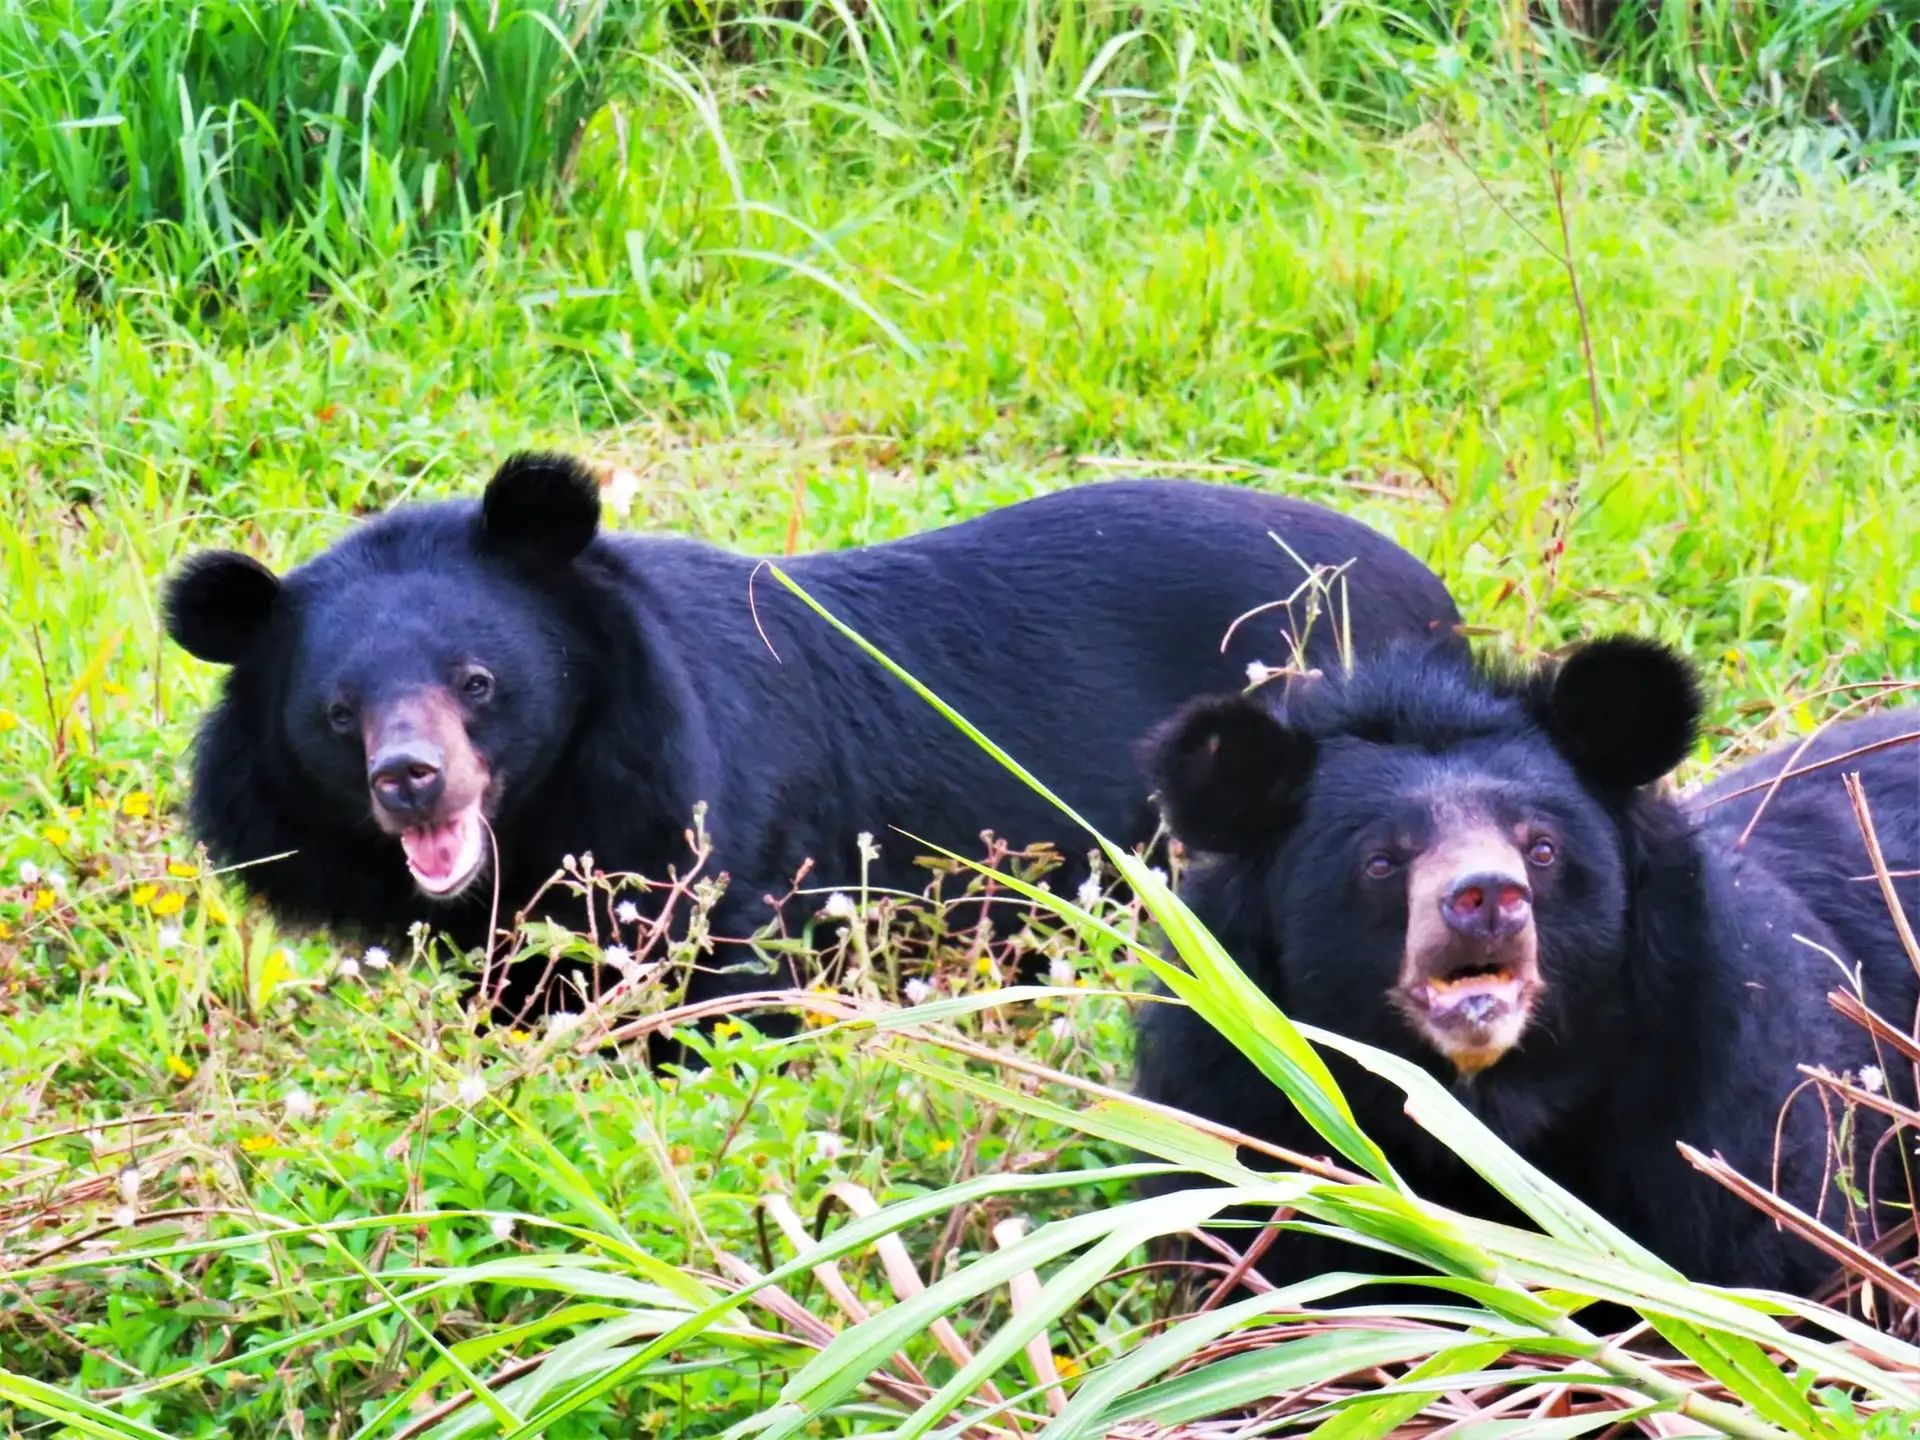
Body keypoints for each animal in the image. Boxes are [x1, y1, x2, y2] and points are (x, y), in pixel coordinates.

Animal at [162, 452, 1467, 1030]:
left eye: (478, 683)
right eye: (337, 714)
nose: (412, 783)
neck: (544, 814)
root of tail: (1426, 588)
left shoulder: (705, 828)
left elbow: (722, 1002)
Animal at [1133, 634, 1920, 1301]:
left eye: (1541, 849)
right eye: (1382, 861)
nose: (1485, 897)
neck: (1494, 1100)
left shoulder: (1721, 1096)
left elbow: (1759, 1250)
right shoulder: (1237, 1098)